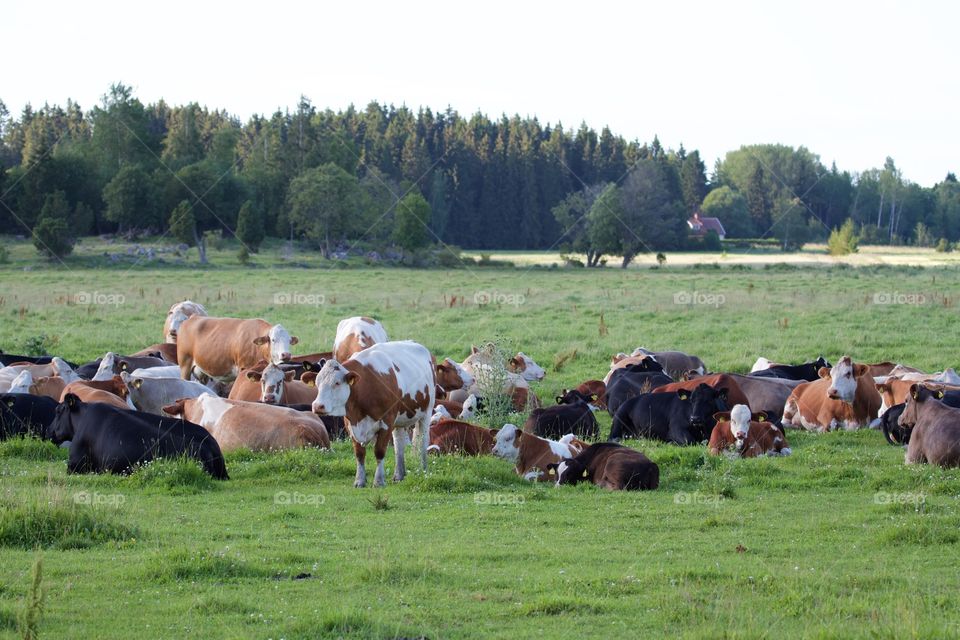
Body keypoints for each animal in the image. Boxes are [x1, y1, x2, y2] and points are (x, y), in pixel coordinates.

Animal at [312, 340, 436, 484]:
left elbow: (379, 451)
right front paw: (359, 480)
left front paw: (379, 481)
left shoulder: (387, 422)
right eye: (317, 383)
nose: (317, 406)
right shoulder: (351, 424)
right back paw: (399, 474)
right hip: (399, 419)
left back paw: (423, 470)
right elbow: (359, 453)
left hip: (426, 413)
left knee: (423, 441)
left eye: (337, 383)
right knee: (399, 444)